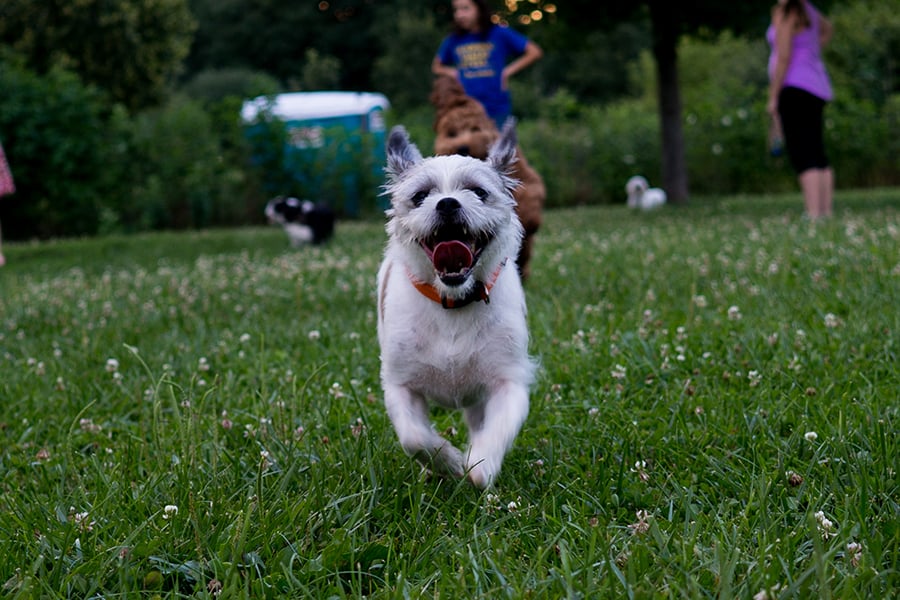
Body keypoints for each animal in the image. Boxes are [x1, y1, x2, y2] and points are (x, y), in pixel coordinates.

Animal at [378, 120, 536, 488]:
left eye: (478, 192)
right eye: (420, 196)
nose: (447, 204)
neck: (452, 302)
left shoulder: (508, 382)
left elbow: (492, 438)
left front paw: (476, 465)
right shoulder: (400, 385)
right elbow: (415, 438)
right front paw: (446, 462)